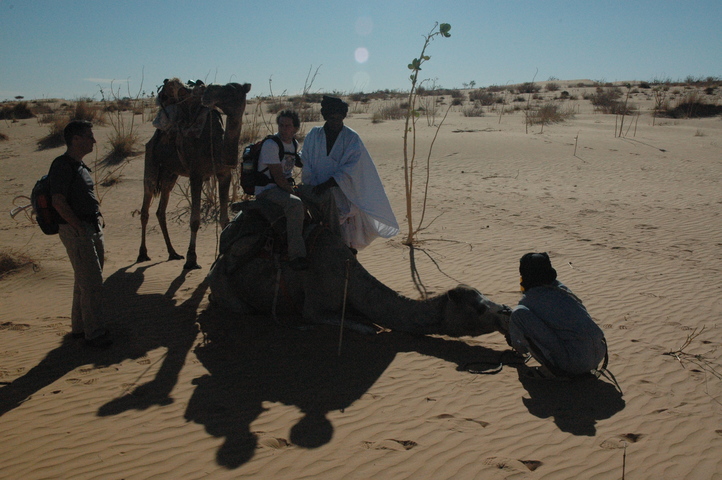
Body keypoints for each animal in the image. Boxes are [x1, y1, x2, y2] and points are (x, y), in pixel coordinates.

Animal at [137, 80, 251, 270]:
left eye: (230, 89)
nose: (209, 91)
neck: (217, 146)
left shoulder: (224, 174)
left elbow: (224, 219)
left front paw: (220, 254)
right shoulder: (196, 174)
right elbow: (195, 220)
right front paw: (191, 259)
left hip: (170, 173)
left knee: (161, 210)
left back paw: (173, 253)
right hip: (151, 159)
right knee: (146, 204)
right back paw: (142, 254)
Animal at [207, 200, 511, 338]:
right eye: (479, 307)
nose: (506, 312)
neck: (350, 278)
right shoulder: (315, 305)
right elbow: (361, 326)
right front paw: (369, 326)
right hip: (228, 290)